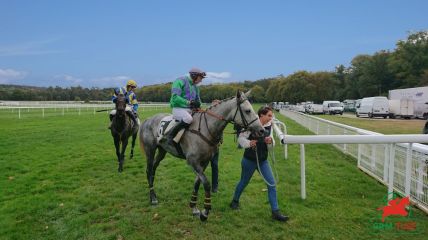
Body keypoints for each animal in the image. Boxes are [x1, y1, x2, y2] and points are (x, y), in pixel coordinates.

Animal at [139, 90, 264, 221]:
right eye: (248, 111)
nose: (261, 130)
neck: (205, 129)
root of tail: (148, 119)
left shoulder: (204, 162)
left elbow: (197, 183)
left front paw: (194, 207)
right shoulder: (192, 161)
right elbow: (206, 184)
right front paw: (205, 211)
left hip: (162, 151)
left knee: (153, 169)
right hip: (150, 150)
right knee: (149, 170)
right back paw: (153, 198)